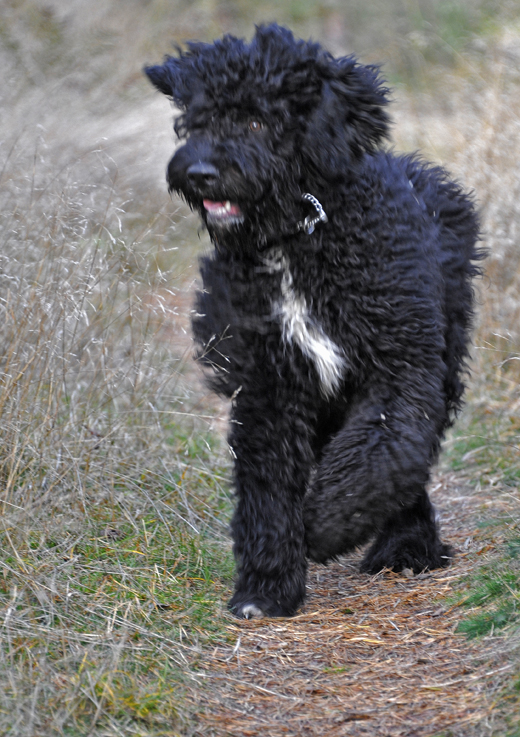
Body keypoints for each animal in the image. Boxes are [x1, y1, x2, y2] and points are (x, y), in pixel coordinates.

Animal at [143, 24, 484, 616]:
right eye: (197, 120)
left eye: (257, 120)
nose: (200, 172)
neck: (299, 238)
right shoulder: (271, 385)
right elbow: (268, 488)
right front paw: (266, 587)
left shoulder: (399, 368)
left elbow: (380, 456)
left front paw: (325, 525)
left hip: (438, 357)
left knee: (405, 458)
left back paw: (408, 544)